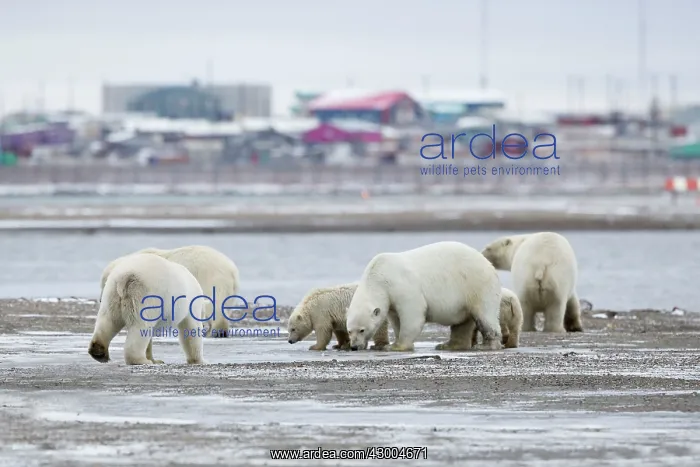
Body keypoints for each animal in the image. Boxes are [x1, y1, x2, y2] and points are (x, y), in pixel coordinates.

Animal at [100, 245, 240, 339]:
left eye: (104, 284)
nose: (101, 299)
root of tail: (231, 269)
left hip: (210, 279)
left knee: (213, 305)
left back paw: (214, 332)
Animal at [345, 241, 503, 352]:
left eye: (362, 330)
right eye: (349, 330)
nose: (354, 347)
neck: (379, 275)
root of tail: (488, 264)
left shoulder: (402, 286)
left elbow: (412, 314)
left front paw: (395, 346)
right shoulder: (391, 300)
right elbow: (396, 319)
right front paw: (394, 341)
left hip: (477, 285)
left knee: (485, 316)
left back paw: (486, 345)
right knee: (462, 323)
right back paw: (448, 345)